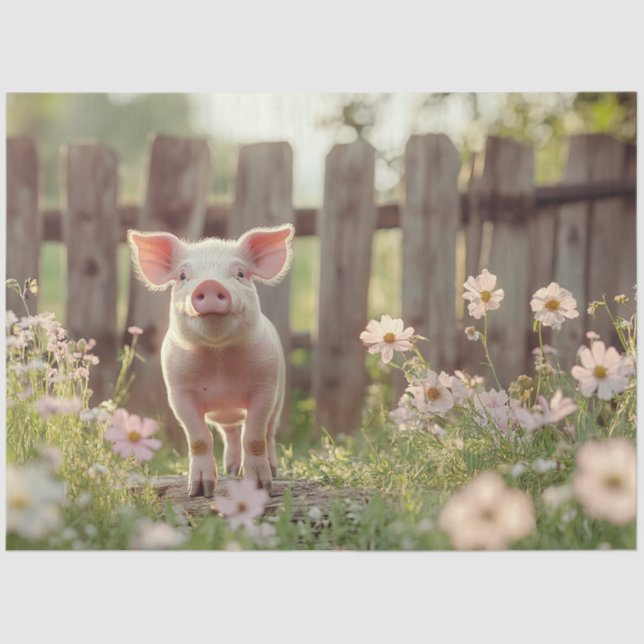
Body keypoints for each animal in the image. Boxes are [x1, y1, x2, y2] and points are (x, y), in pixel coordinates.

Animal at [127, 224, 294, 497]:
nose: (209, 284)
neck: (218, 358)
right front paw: (198, 492)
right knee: (230, 433)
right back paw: (231, 469)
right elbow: (198, 439)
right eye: (183, 275)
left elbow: (254, 438)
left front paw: (260, 488)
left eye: (240, 273)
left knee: (268, 433)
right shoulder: (178, 392)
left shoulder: (265, 386)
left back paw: (270, 470)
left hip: (279, 398)